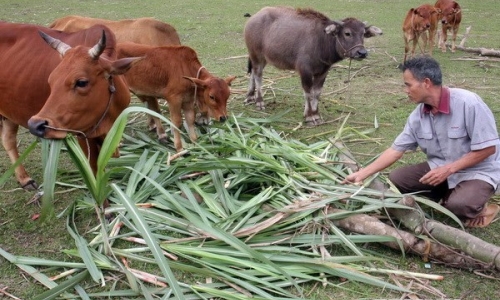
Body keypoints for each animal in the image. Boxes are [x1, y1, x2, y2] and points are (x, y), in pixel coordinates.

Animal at [243, 6, 382, 124]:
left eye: (363, 33)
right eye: (347, 33)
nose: (362, 53)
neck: (322, 41)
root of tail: (254, 17)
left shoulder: (323, 71)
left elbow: (317, 93)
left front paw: (315, 114)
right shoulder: (305, 71)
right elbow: (308, 92)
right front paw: (309, 116)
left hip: (261, 58)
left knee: (253, 73)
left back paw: (250, 97)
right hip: (256, 54)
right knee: (258, 75)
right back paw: (259, 102)